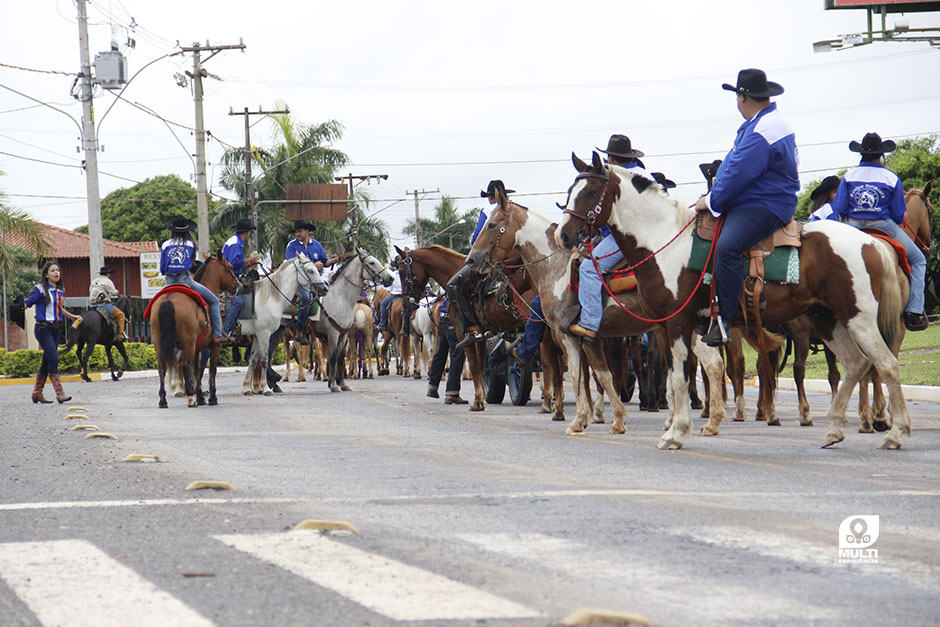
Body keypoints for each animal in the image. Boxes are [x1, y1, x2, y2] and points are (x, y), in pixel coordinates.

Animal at [150, 253, 239, 410]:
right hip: (188, 344)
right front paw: (211, 398)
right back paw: (190, 398)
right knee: (184, 365)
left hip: (159, 343)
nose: (237, 284)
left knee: (162, 368)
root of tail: (168, 299)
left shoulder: (198, 347)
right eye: (230, 267)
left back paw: (163, 400)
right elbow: (211, 369)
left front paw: (201, 397)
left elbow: (197, 369)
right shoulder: (215, 345)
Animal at [237, 253, 328, 394]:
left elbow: (254, 360)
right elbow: (264, 359)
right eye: (310, 271)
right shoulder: (264, 334)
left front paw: (249, 387)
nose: (325, 288)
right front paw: (265, 387)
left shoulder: (259, 335)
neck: (270, 298)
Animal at [312, 249, 392, 392]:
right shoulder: (333, 333)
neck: (340, 297)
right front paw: (333, 384)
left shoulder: (344, 334)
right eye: (371, 262)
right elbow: (333, 357)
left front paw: (341, 382)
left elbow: (340, 357)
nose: (390, 278)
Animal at [458, 191, 728, 436]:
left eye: (492, 224)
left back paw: (704, 420)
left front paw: (584, 419)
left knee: (704, 366)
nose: (471, 261)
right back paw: (705, 419)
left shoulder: (567, 336)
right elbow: (601, 376)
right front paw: (608, 418)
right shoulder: (591, 337)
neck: (559, 268)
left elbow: (586, 375)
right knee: (712, 364)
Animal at [560, 153, 912, 452]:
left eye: (591, 191)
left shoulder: (676, 323)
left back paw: (895, 433)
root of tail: (871, 242)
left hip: (859, 319)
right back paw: (835, 429)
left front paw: (676, 433)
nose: (564, 235)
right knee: (856, 364)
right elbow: (680, 375)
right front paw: (677, 427)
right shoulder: (670, 326)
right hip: (828, 319)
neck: (663, 241)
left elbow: (680, 377)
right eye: (570, 190)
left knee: (886, 364)